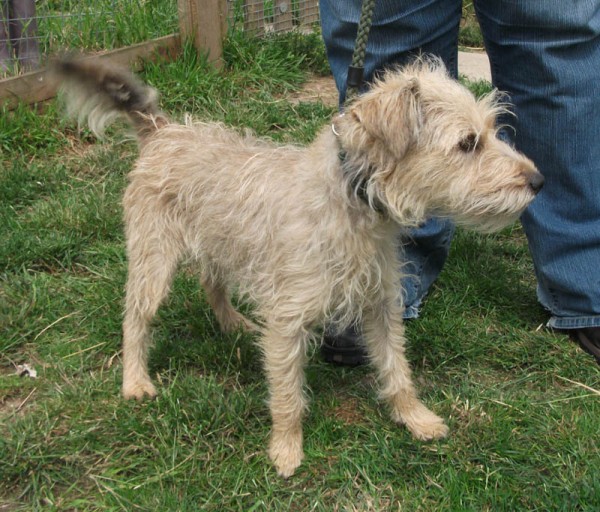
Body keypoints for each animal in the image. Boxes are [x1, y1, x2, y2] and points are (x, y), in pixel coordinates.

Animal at [56, 58, 544, 478]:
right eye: (467, 143)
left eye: (491, 132)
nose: (538, 181)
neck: (355, 202)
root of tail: (163, 130)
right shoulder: (287, 321)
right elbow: (288, 395)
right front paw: (286, 450)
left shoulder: (381, 306)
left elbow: (397, 370)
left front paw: (415, 418)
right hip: (154, 263)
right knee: (135, 318)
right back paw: (135, 380)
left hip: (221, 245)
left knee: (211, 282)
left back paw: (232, 322)